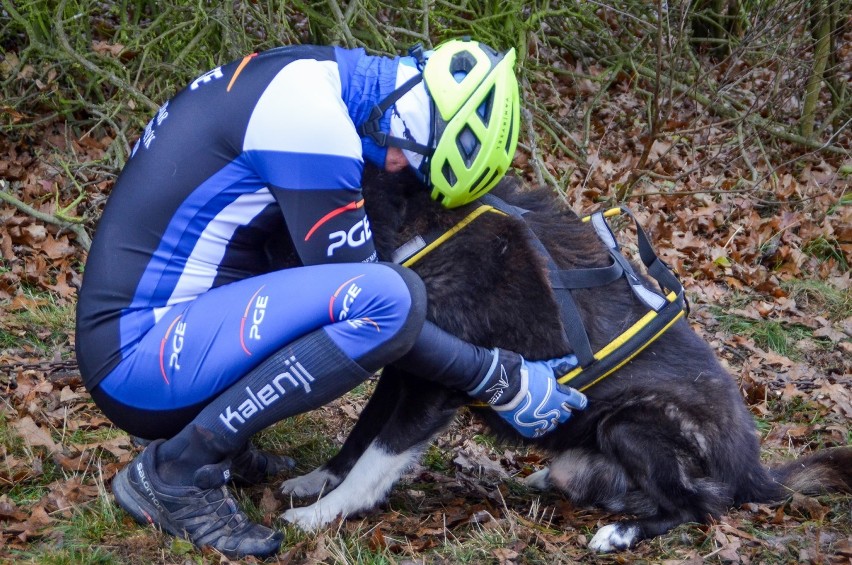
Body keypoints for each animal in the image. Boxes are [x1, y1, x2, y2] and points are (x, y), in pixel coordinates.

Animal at [278, 167, 844, 552]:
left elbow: (377, 459)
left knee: (700, 506)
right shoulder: (402, 370)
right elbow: (359, 436)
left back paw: (621, 532)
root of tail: (754, 471)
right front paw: (315, 483)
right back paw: (553, 482)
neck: (419, 227)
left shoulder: (432, 390)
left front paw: (322, 515)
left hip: (634, 421)